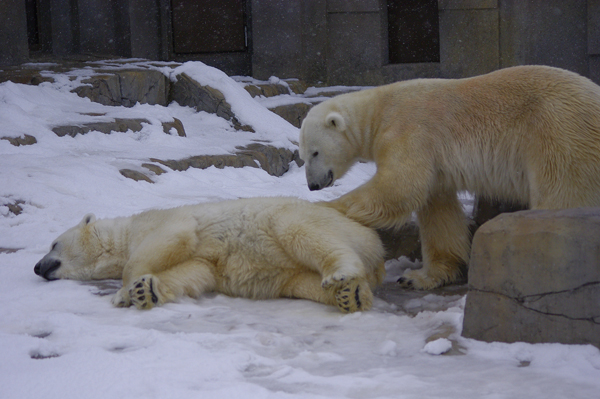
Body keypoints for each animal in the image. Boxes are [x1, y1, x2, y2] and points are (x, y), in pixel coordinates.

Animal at [34, 198, 384, 314]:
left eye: (53, 244)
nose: (37, 267)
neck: (124, 235)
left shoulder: (161, 222)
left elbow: (175, 236)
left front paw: (125, 291)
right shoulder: (202, 263)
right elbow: (195, 271)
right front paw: (145, 291)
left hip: (300, 218)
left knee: (298, 231)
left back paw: (341, 274)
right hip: (293, 275)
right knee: (300, 282)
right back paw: (351, 295)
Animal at [300, 65, 600, 290]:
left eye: (315, 152)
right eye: (303, 156)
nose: (312, 186)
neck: (377, 111)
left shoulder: (408, 130)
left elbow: (399, 186)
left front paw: (325, 206)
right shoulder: (435, 164)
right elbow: (438, 211)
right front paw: (420, 277)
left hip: (559, 130)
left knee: (560, 193)